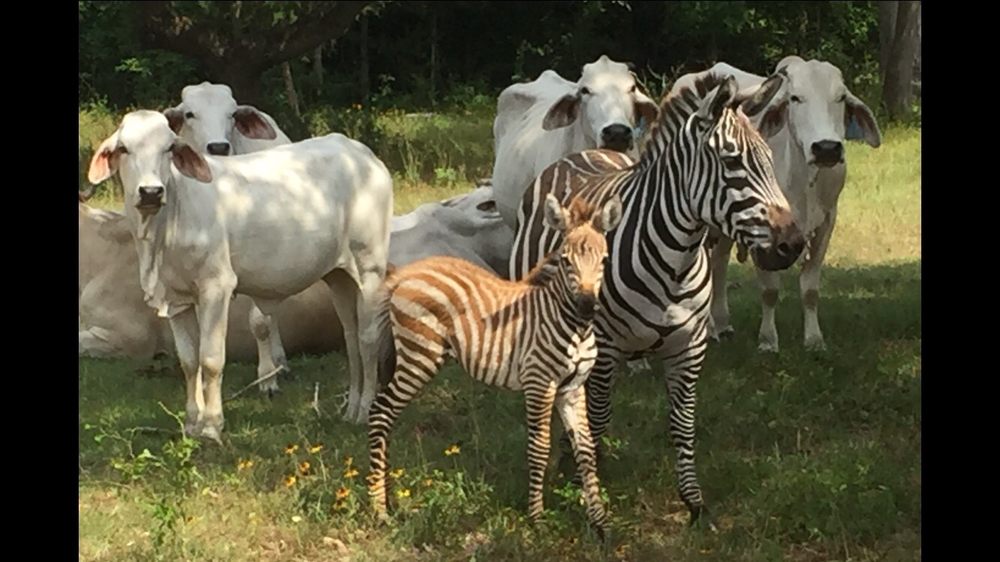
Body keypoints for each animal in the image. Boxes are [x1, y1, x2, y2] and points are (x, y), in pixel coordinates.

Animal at [367, 193, 624, 538]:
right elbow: (539, 448)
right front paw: (537, 519)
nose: (586, 307)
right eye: (566, 261)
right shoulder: (539, 384)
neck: (572, 325)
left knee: (386, 416)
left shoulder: (572, 389)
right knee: (380, 413)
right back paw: (378, 510)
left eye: (605, 261)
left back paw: (388, 498)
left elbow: (585, 451)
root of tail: (406, 274)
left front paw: (600, 523)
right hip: (419, 356)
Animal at [508, 72, 806, 526]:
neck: (674, 264)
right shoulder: (606, 347)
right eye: (732, 162)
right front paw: (587, 488)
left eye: (771, 160)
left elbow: (683, 423)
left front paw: (694, 504)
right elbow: (599, 417)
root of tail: (585, 152)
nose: (792, 245)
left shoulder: (690, 347)